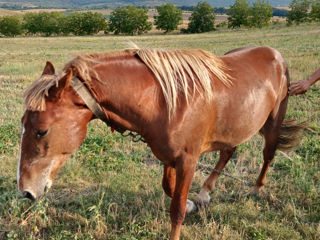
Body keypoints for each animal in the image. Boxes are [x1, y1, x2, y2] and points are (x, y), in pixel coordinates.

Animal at [18, 46, 302, 239]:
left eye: (41, 131)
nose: (26, 191)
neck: (165, 101)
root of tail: (275, 55)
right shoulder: (168, 157)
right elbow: (169, 188)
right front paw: (193, 203)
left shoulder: (188, 160)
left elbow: (176, 209)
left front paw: (185, 208)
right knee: (228, 151)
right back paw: (205, 192)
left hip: (273, 123)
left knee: (268, 154)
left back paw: (256, 187)